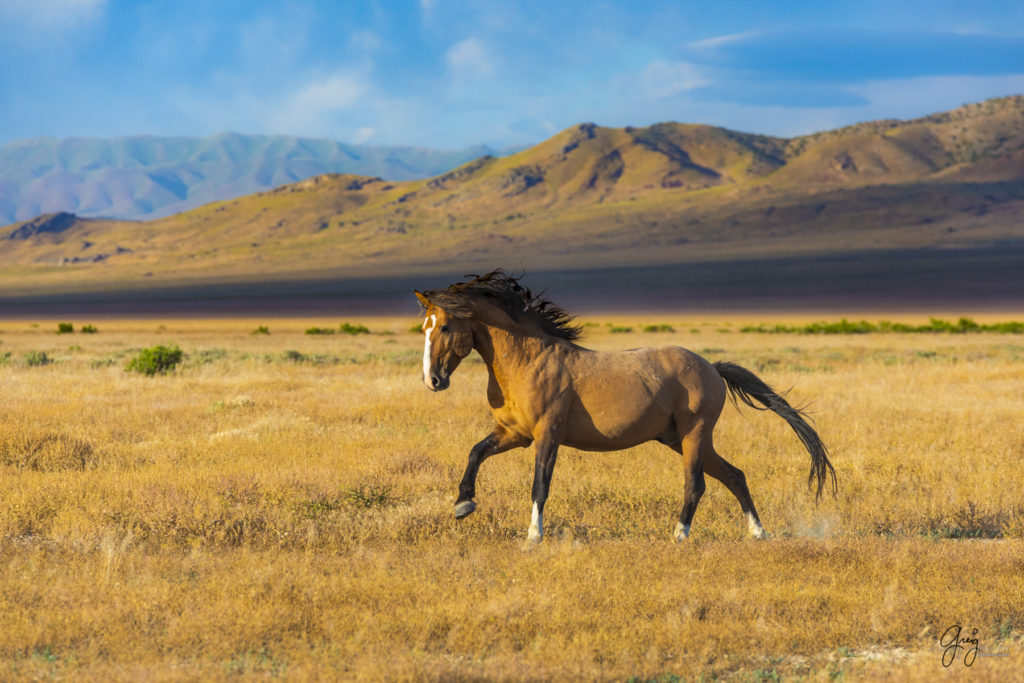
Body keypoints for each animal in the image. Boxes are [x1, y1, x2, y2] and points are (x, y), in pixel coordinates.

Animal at [411, 270, 835, 540]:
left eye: (445, 326)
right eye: (424, 328)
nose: (433, 381)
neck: (528, 360)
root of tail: (712, 368)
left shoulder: (547, 434)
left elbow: (540, 484)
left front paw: (534, 535)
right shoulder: (514, 433)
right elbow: (476, 452)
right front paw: (463, 505)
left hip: (694, 434)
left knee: (696, 483)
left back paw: (679, 535)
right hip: (680, 439)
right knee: (734, 475)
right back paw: (758, 532)